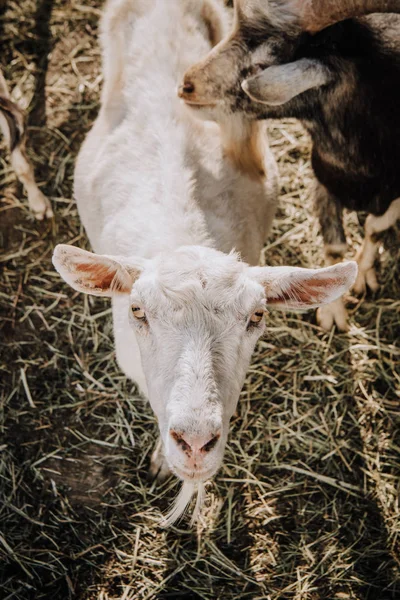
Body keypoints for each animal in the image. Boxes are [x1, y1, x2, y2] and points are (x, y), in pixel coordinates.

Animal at [180, 0, 400, 328]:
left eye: (262, 65)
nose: (187, 85)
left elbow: (376, 226)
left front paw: (363, 273)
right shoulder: (323, 178)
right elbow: (335, 245)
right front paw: (333, 313)